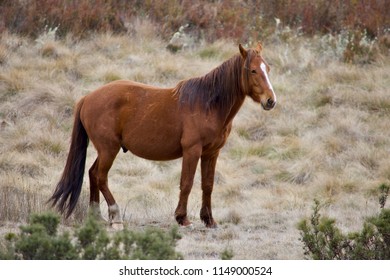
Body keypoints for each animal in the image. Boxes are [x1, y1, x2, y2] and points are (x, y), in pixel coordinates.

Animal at [49, 42, 274, 229]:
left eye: (268, 69)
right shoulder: (192, 151)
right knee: (100, 176)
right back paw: (115, 216)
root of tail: (88, 98)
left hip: (105, 150)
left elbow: (207, 185)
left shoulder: (211, 153)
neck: (208, 104)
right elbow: (187, 183)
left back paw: (97, 217)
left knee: (92, 174)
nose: (271, 101)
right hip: (108, 150)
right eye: (253, 70)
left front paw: (209, 220)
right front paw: (182, 218)